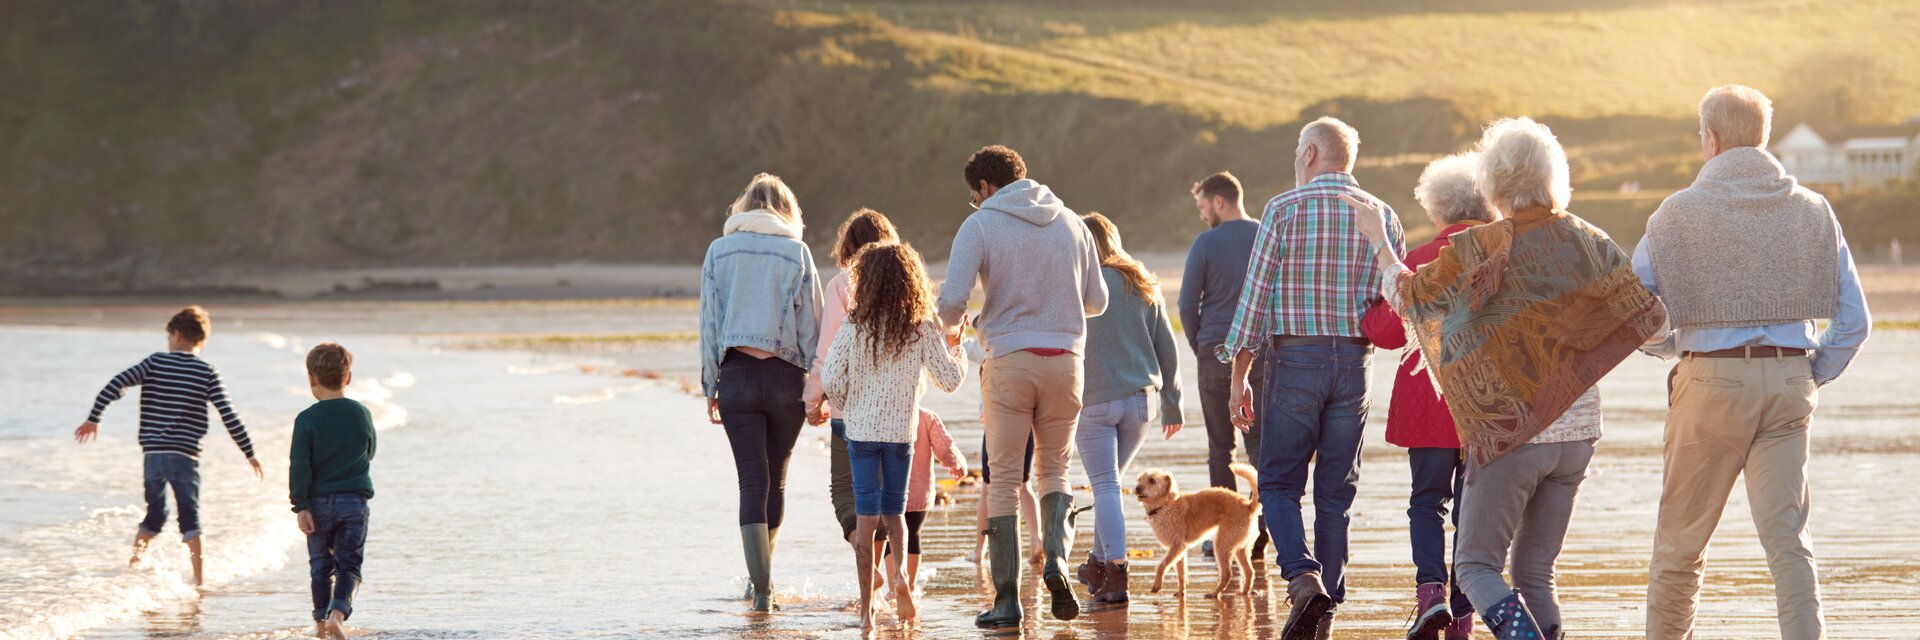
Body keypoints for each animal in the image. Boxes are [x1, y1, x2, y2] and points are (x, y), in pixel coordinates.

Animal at [1136, 461, 1259, 595]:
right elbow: (1181, 573)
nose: (1137, 488)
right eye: (1140, 479)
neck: (1165, 505)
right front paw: (1181, 593)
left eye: (1152, 480)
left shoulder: (1177, 546)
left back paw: (1214, 593)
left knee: (1227, 574)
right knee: (1249, 571)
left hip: (1222, 544)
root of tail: (1249, 506)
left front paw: (1157, 585)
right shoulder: (1179, 550)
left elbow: (1162, 565)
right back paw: (1244, 592)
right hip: (1241, 548)